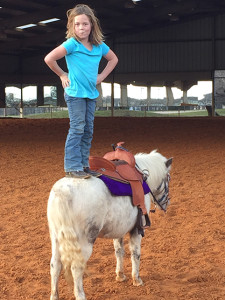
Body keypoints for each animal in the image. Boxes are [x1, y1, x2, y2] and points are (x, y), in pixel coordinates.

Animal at [47, 150, 172, 300]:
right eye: (168, 178)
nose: (166, 202)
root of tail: (64, 192)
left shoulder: (118, 230)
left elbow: (119, 251)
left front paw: (120, 275)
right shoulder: (137, 229)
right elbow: (135, 253)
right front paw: (137, 279)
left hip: (56, 238)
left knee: (55, 265)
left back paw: (54, 295)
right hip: (84, 242)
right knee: (76, 268)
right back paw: (81, 295)